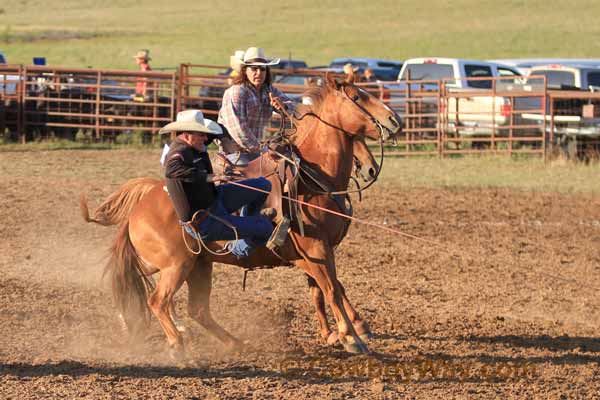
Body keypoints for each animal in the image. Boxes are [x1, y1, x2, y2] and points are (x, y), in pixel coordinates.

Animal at [79, 75, 398, 356]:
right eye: (357, 97)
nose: (395, 119)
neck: (311, 178)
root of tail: (144, 199)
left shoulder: (316, 254)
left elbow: (324, 290)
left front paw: (341, 332)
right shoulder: (315, 250)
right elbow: (332, 289)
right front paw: (352, 337)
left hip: (195, 264)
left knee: (185, 304)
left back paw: (230, 342)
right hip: (176, 265)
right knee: (157, 300)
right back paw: (176, 343)